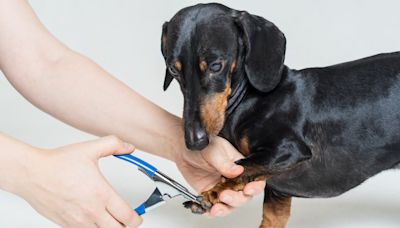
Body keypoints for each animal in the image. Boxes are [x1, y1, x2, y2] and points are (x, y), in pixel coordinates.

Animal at [160, 2, 400, 227]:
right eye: (173, 70)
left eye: (216, 66)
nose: (194, 142)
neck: (248, 100)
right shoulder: (278, 194)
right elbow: (271, 217)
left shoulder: (288, 150)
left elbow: (239, 167)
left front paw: (211, 193)